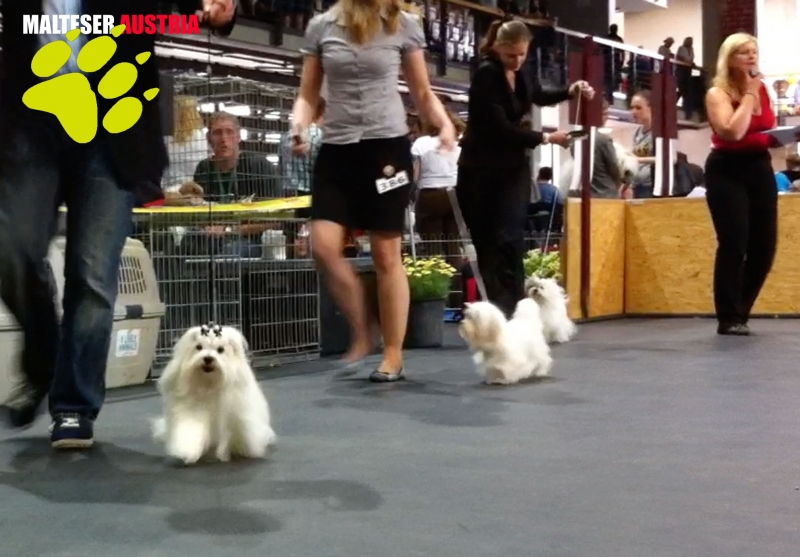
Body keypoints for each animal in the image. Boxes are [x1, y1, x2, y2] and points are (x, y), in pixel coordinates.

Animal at [152, 324, 276, 465]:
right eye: (199, 347)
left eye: (220, 350)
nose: (208, 358)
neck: (209, 384)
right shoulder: (192, 411)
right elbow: (190, 428)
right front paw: (186, 451)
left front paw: (246, 449)